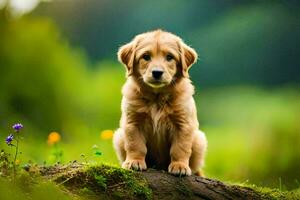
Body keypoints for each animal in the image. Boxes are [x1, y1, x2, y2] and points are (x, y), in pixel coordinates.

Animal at [112, 29, 206, 175]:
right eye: (146, 56)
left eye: (169, 57)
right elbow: (135, 145)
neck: (157, 97)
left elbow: (180, 148)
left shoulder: (183, 124)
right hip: (119, 136)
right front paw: (134, 162)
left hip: (199, 139)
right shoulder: (132, 123)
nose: (157, 73)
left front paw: (179, 166)